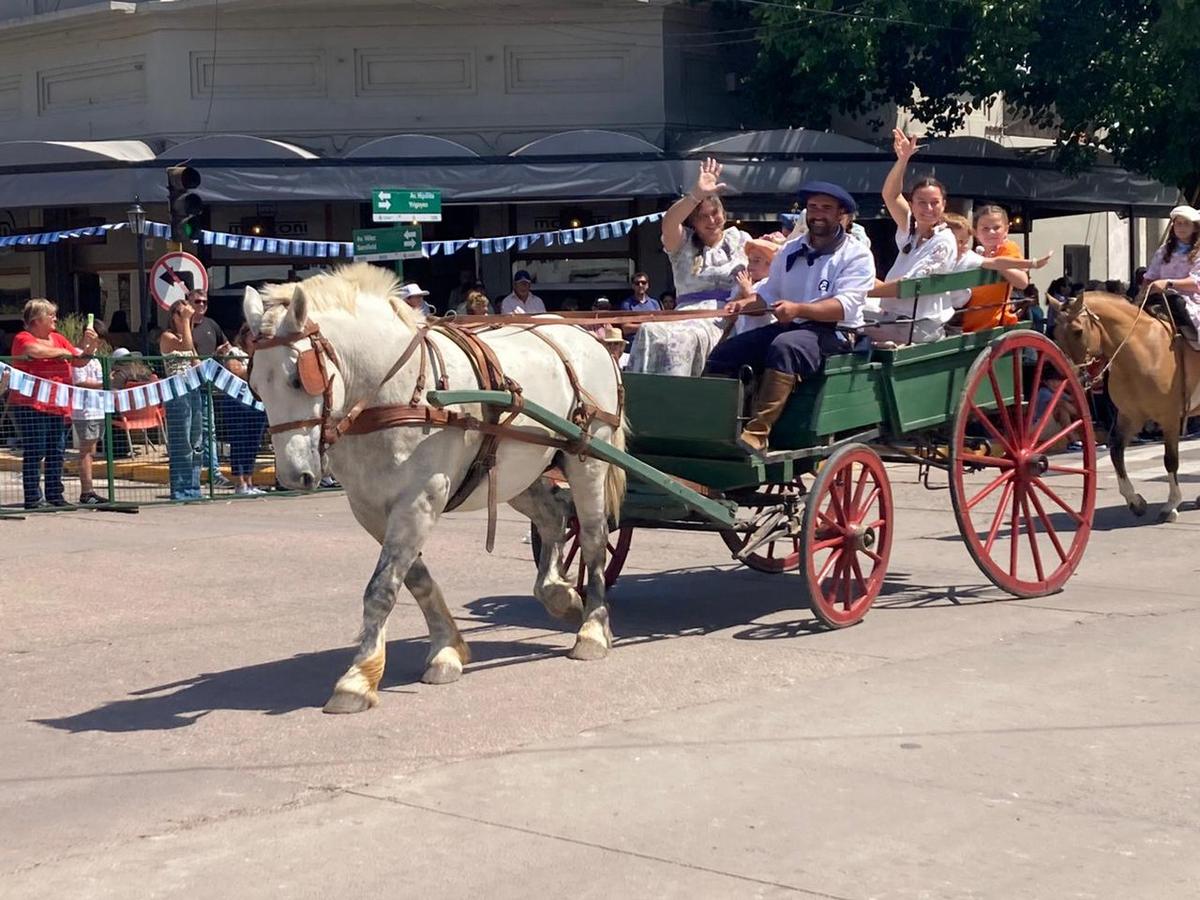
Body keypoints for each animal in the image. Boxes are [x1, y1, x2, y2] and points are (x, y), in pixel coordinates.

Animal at [238, 264, 624, 715]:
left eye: (299, 379)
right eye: (256, 385)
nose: (292, 475)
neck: (392, 392)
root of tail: (586, 336)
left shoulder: (419, 500)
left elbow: (381, 589)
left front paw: (357, 678)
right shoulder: (371, 509)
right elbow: (414, 579)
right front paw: (447, 649)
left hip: (587, 461)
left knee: (594, 537)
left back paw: (593, 629)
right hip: (517, 472)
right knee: (555, 515)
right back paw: (558, 593)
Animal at [1056, 292, 1200, 525]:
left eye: (1078, 331)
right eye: (1055, 334)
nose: (1072, 376)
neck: (1145, 351)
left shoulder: (1169, 418)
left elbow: (1170, 460)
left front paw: (1171, 505)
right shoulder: (1129, 416)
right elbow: (1116, 452)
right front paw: (1135, 501)